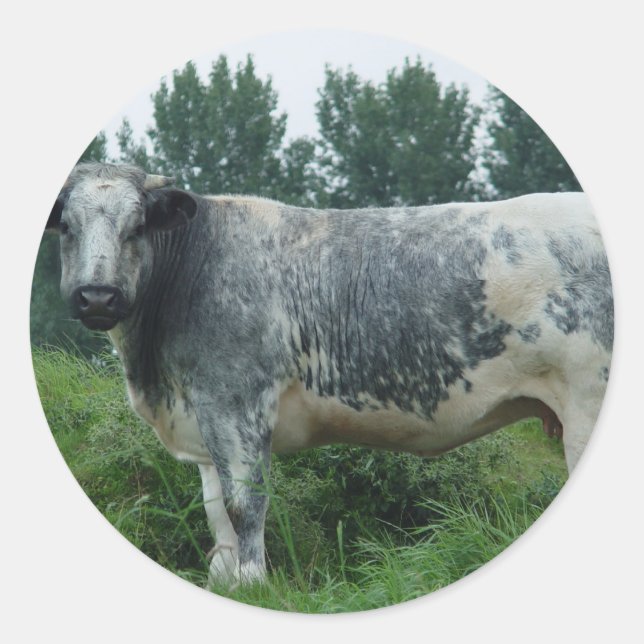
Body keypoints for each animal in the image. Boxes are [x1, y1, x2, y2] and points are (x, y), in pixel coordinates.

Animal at [46, 162, 613, 586]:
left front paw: (253, 583)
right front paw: (225, 581)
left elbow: (245, 504)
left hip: (587, 400)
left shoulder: (236, 403)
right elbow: (215, 511)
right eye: (68, 227)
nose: (98, 297)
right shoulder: (203, 417)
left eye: (137, 226)